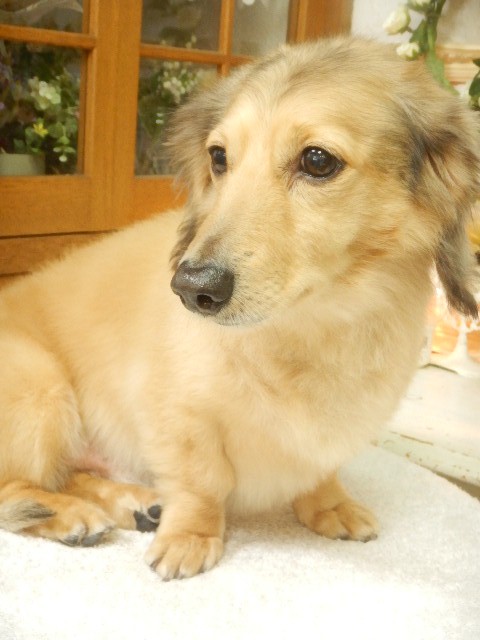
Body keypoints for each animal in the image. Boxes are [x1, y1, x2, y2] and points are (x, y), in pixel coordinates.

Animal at [0, 38, 478, 580]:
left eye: (318, 160)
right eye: (218, 157)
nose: (191, 288)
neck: (313, 329)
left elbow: (321, 470)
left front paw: (329, 504)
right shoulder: (179, 416)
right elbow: (202, 481)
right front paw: (190, 537)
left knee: (74, 473)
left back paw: (134, 503)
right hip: (40, 389)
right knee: (19, 488)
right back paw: (71, 515)